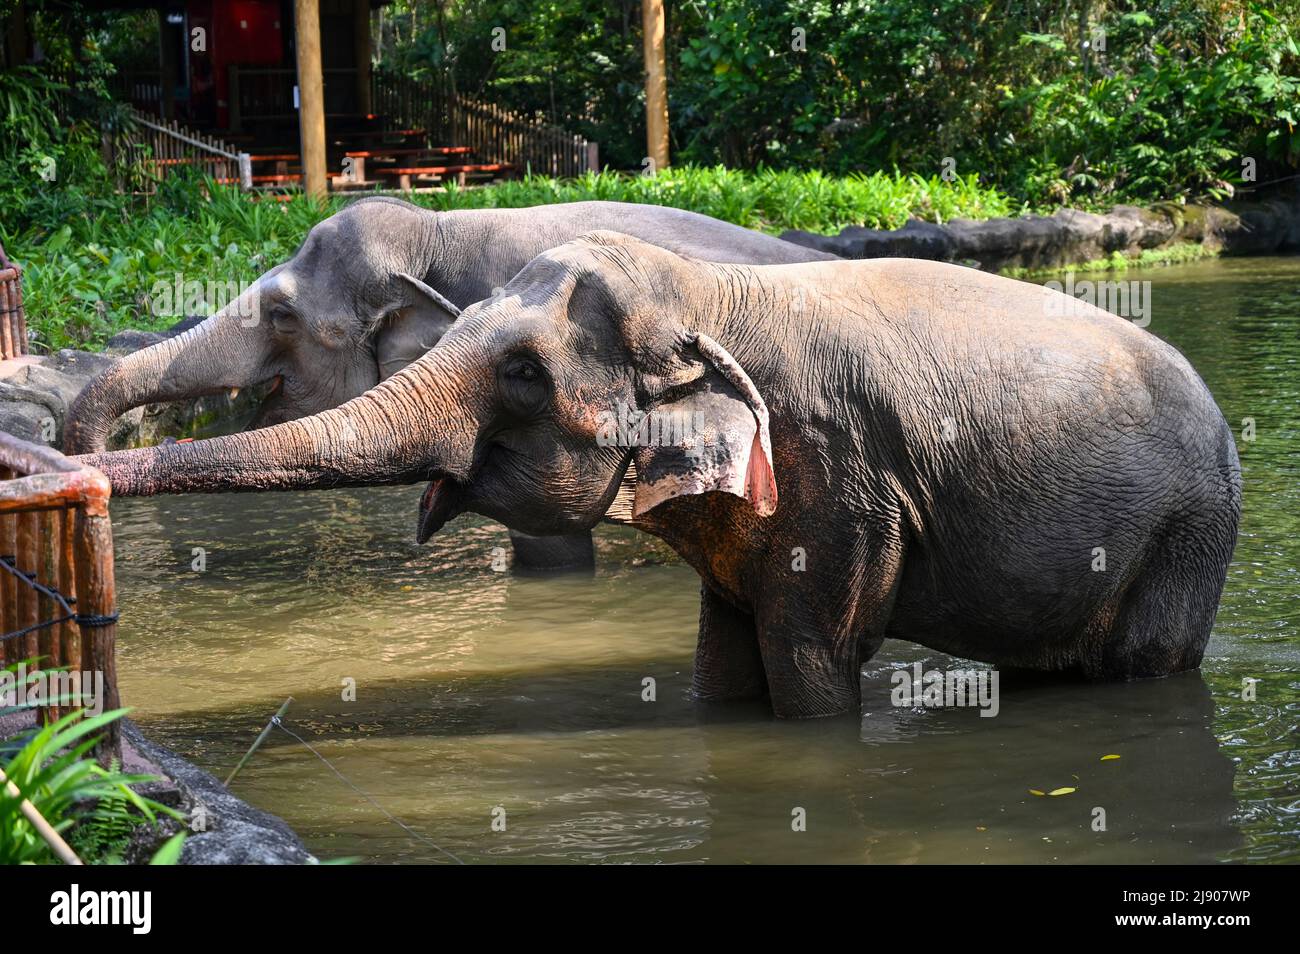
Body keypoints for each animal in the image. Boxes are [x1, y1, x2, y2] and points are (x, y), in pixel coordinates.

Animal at [78, 235, 1237, 722]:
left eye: (522, 371)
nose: (63, 465)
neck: (712, 294)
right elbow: (723, 657)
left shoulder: (842, 479)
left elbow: (810, 657)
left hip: (1186, 536)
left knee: (1144, 665)